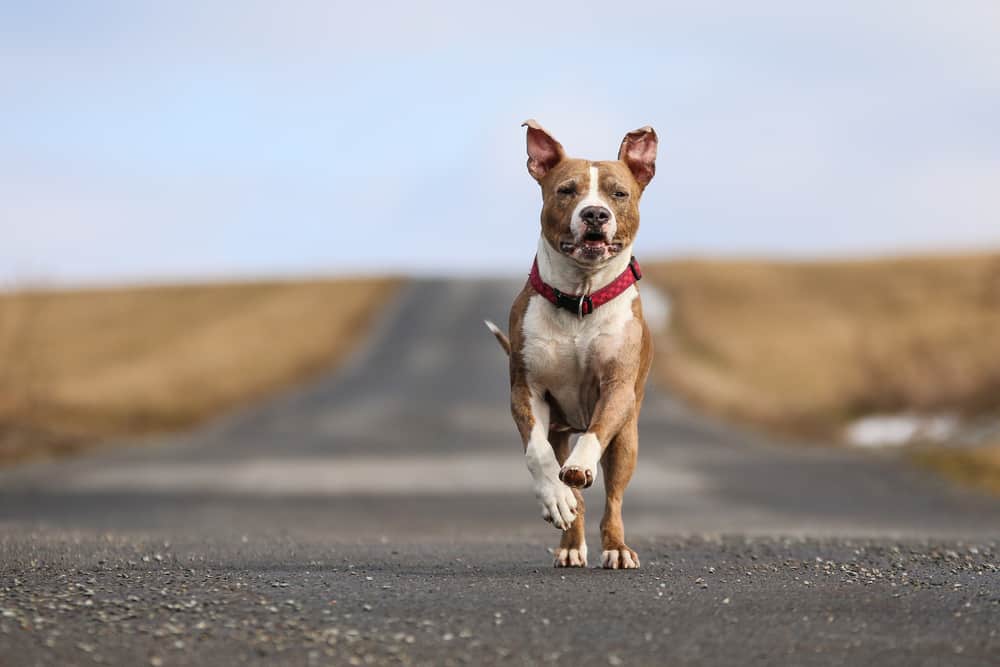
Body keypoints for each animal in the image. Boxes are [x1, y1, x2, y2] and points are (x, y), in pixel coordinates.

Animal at [484, 118, 656, 568]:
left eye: (619, 193)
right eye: (566, 190)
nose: (595, 213)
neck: (580, 298)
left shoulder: (616, 389)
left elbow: (594, 438)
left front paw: (581, 466)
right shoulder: (526, 391)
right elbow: (537, 452)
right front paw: (556, 498)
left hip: (628, 437)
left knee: (613, 496)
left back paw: (616, 548)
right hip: (560, 427)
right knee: (569, 483)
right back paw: (570, 541)